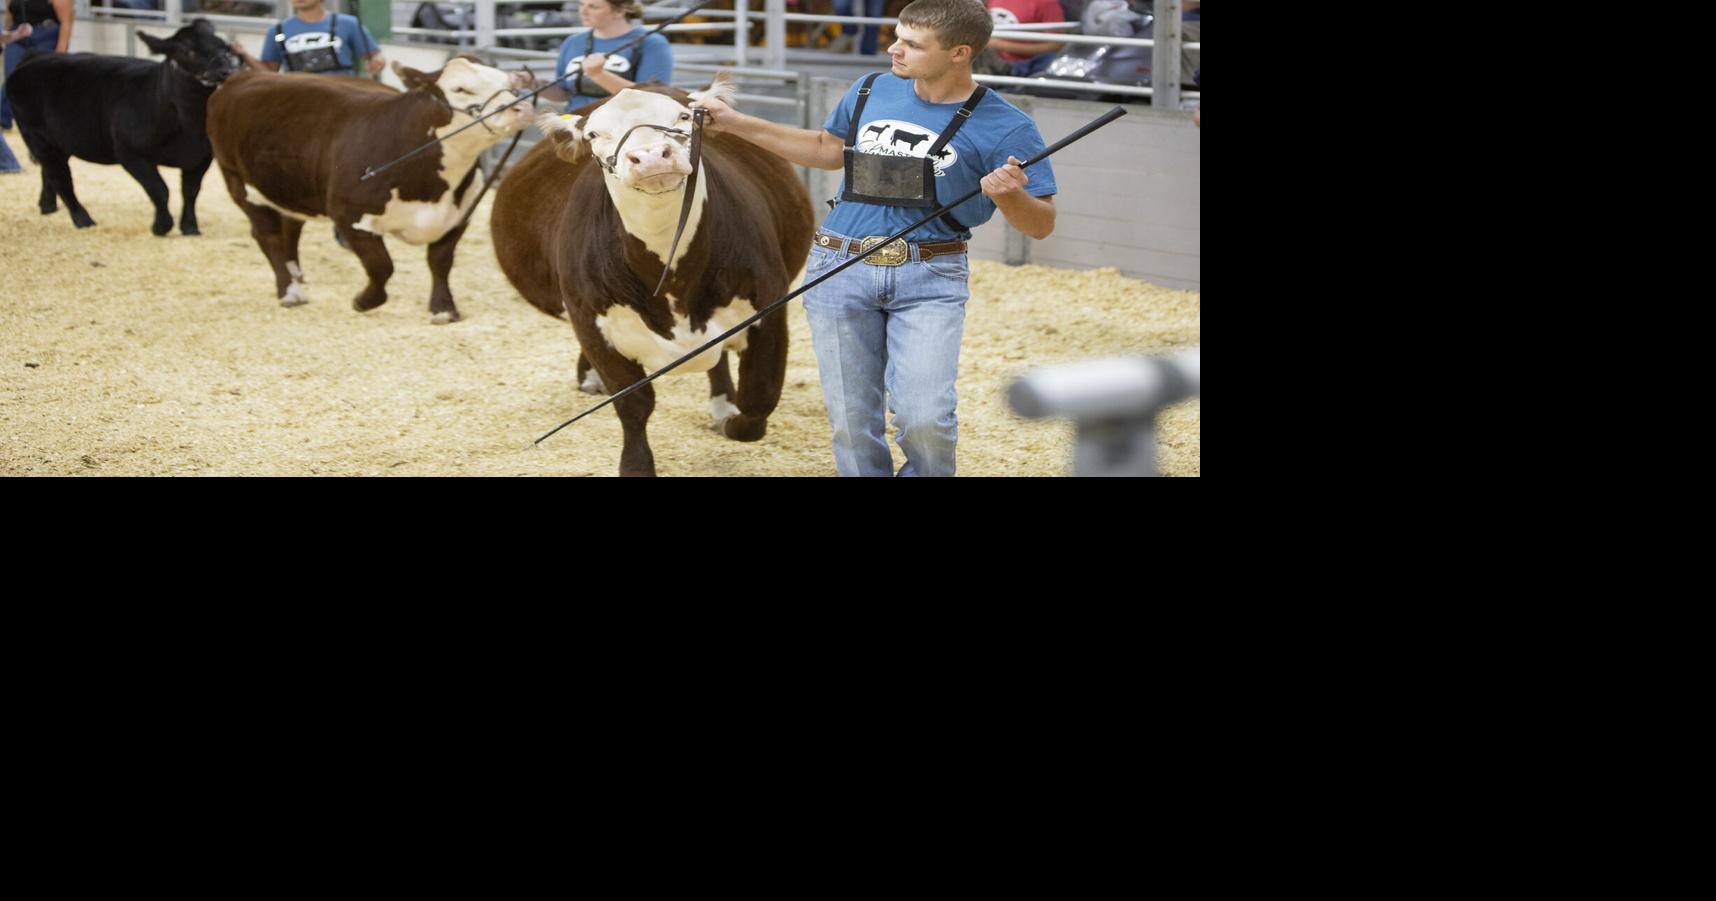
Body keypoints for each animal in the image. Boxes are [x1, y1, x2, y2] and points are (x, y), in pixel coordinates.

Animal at [5, 18, 238, 235]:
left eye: (224, 47)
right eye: (186, 51)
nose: (226, 71)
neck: (186, 125)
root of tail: (36, 57)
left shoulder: (200, 157)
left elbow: (190, 191)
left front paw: (190, 227)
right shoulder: (130, 153)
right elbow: (159, 189)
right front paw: (161, 226)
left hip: (60, 140)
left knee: (50, 171)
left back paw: (47, 206)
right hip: (36, 136)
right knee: (60, 177)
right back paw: (82, 219)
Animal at [207, 57, 528, 322]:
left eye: (508, 84)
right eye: (461, 89)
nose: (520, 108)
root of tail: (241, 77)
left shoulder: (458, 215)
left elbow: (440, 261)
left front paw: (443, 309)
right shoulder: (350, 215)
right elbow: (381, 266)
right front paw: (364, 301)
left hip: (290, 186)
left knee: (291, 226)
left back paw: (296, 275)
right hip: (237, 180)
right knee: (267, 235)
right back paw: (290, 291)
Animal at [494, 78, 813, 477]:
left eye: (685, 116)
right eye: (594, 134)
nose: (649, 157)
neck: (672, 280)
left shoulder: (768, 309)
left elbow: (758, 400)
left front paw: (732, 421)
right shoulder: (591, 324)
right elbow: (633, 405)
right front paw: (636, 465)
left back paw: (722, 405)